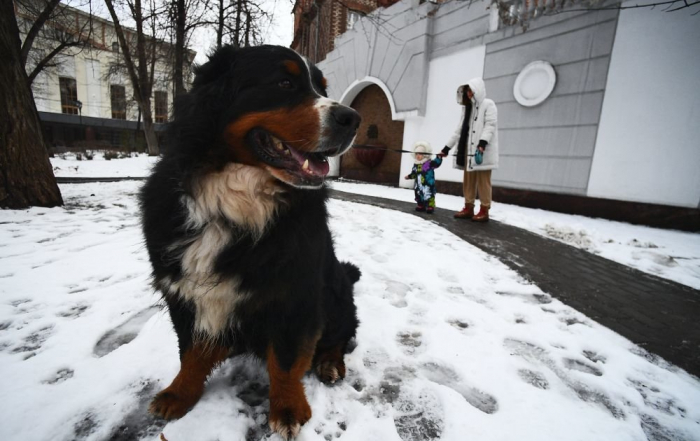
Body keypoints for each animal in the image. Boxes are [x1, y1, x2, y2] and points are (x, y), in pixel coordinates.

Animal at [140, 46, 364, 438]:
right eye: (285, 83)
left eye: (322, 88)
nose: (352, 118)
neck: (234, 202)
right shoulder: (182, 290)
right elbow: (191, 352)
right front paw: (180, 393)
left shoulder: (295, 294)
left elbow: (286, 361)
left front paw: (288, 408)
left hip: (336, 290)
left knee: (341, 333)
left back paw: (330, 363)